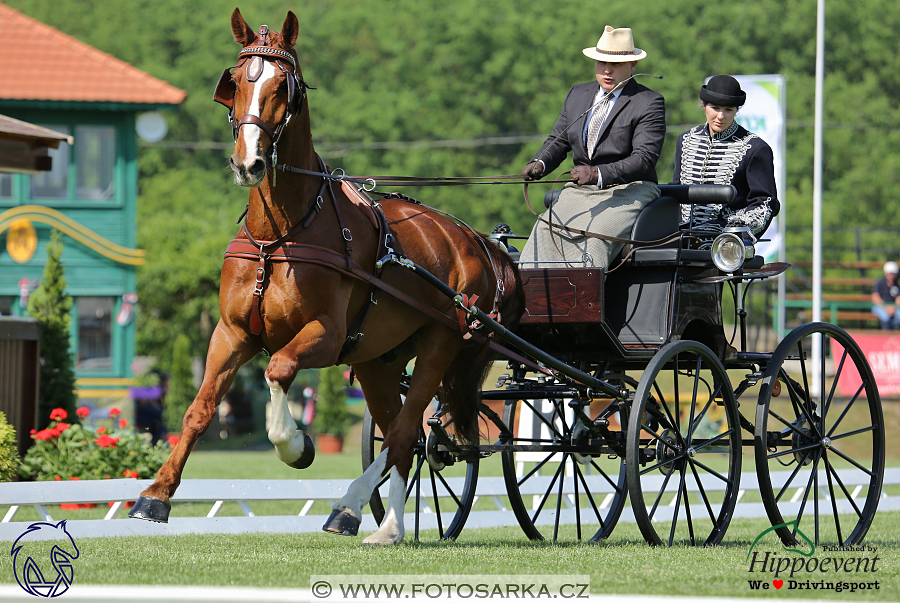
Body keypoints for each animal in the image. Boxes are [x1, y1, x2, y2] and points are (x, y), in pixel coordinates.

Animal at [127, 8, 524, 548]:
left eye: (283, 86)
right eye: (236, 82)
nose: (248, 163)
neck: (278, 237)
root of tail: (479, 241)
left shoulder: (325, 335)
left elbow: (277, 371)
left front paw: (296, 445)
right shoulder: (231, 334)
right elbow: (199, 410)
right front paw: (156, 496)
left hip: (440, 343)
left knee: (405, 431)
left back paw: (364, 512)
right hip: (379, 359)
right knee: (404, 436)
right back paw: (383, 522)